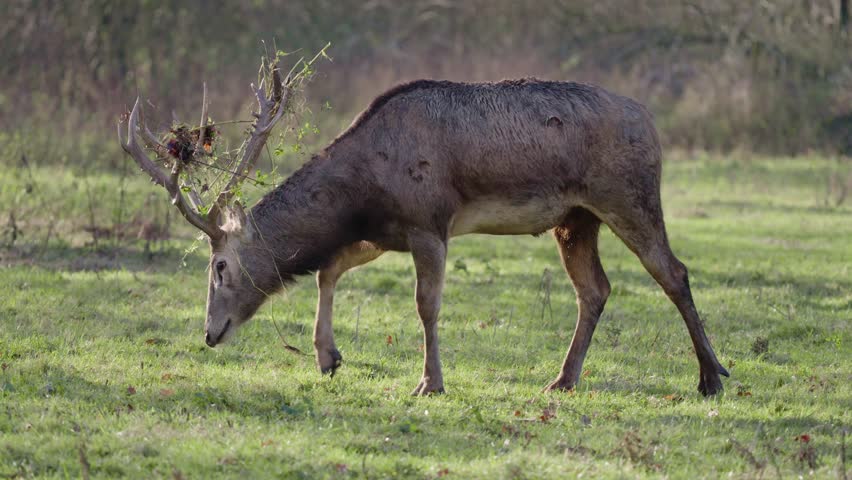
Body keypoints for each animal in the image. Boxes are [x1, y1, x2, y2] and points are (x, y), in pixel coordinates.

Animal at [118, 61, 729, 397]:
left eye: (220, 266)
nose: (210, 332)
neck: (360, 189)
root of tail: (650, 122)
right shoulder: (380, 230)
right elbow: (328, 268)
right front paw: (327, 357)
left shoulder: (429, 222)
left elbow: (426, 305)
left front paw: (429, 382)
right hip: (574, 220)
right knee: (595, 289)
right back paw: (563, 379)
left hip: (628, 194)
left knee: (674, 272)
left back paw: (712, 376)